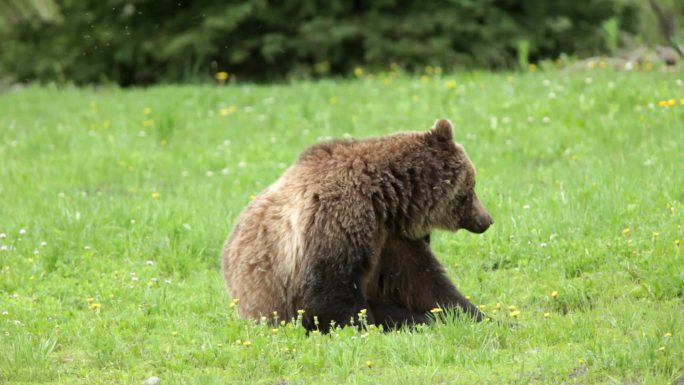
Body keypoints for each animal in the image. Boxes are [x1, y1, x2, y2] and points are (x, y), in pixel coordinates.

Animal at [222, 118, 494, 330]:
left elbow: (424, 284)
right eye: (472, 187)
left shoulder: (392, 239)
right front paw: (368, 325)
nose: (487, 220)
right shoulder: (337, 222)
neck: (386, 200)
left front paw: (479, 316)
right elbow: (332, 296)